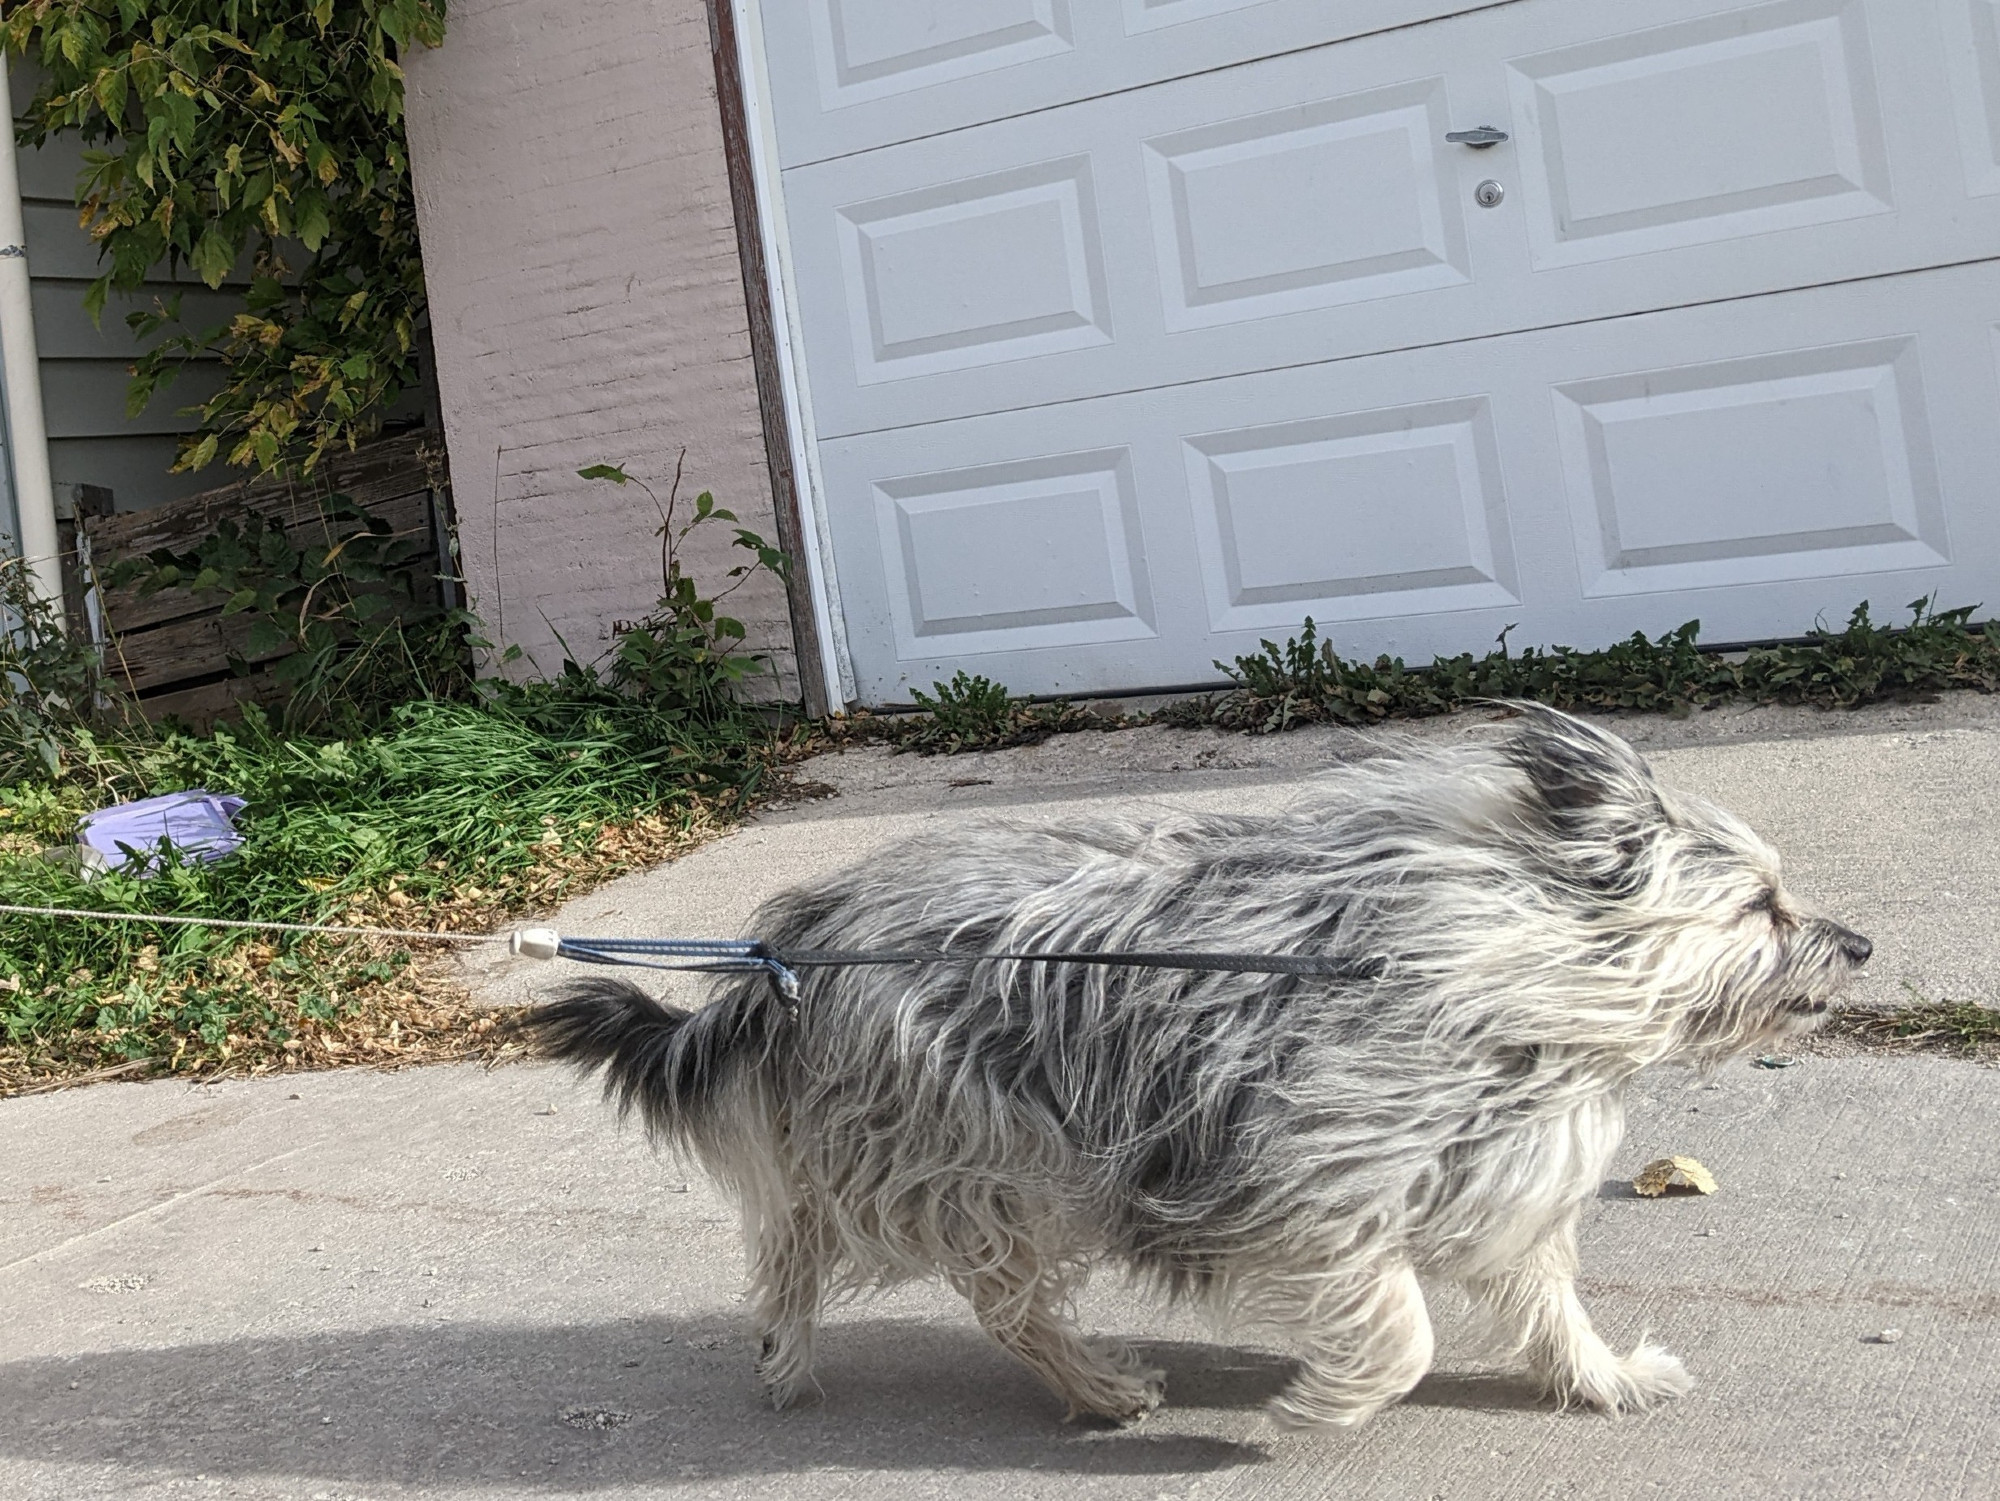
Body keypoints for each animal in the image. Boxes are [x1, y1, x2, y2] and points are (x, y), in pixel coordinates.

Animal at [520, 708, 1872, 1432]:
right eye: (1759, 906)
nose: (1858, 945)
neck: (1496, 960)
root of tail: (795, 940)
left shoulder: (1498, 1178)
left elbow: (1543, 1302)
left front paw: (1600, 1377)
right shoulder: (1303, 1185)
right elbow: (1401, 1328)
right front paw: (1323, 1405)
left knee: (794, 1242)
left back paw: (786, 1353)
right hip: (995, 1150)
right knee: (990, 1292)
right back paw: (1092, 1386)